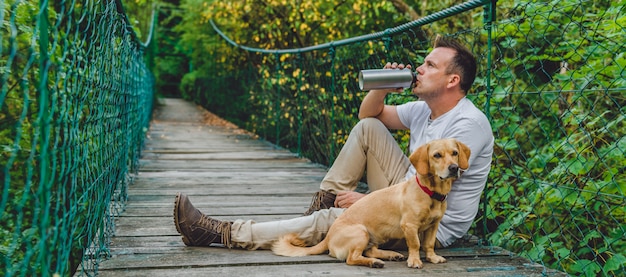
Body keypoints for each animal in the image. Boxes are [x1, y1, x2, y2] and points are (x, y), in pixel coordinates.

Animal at [272, 138, 468, 268]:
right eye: (437, 155)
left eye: (455, 153)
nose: (454, 168)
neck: (430, 193)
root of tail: (328, 237)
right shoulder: (410, 226)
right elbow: (415, 244)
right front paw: (414, 260)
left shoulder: (433, 226)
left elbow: (428, 244)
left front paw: (432, 257)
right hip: (361, 232)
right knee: (352, 258)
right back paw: (374, 262)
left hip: (373, 237)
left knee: (369, 250)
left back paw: (389, 255)